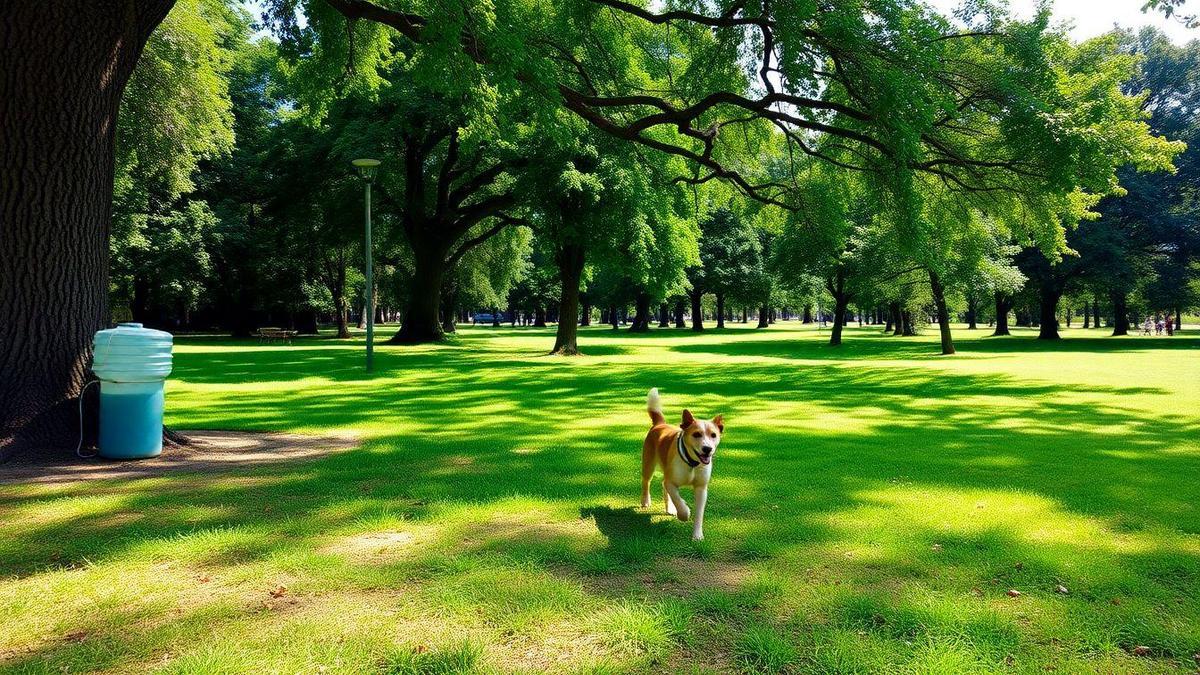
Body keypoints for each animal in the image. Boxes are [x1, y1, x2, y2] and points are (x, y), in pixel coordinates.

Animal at [643, 386, 724, 538]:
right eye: (696, 434)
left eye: (713, 435)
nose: (707, 449)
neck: (692, 463)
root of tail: (660, 424)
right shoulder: (671, 482)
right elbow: (678, 500)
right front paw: (684, 513)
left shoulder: (701, 488)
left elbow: (699, 513)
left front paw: (697, 535)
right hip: (648, 464)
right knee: (647, 482)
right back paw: (645, 501)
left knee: (663, 485)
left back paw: (670, 508)